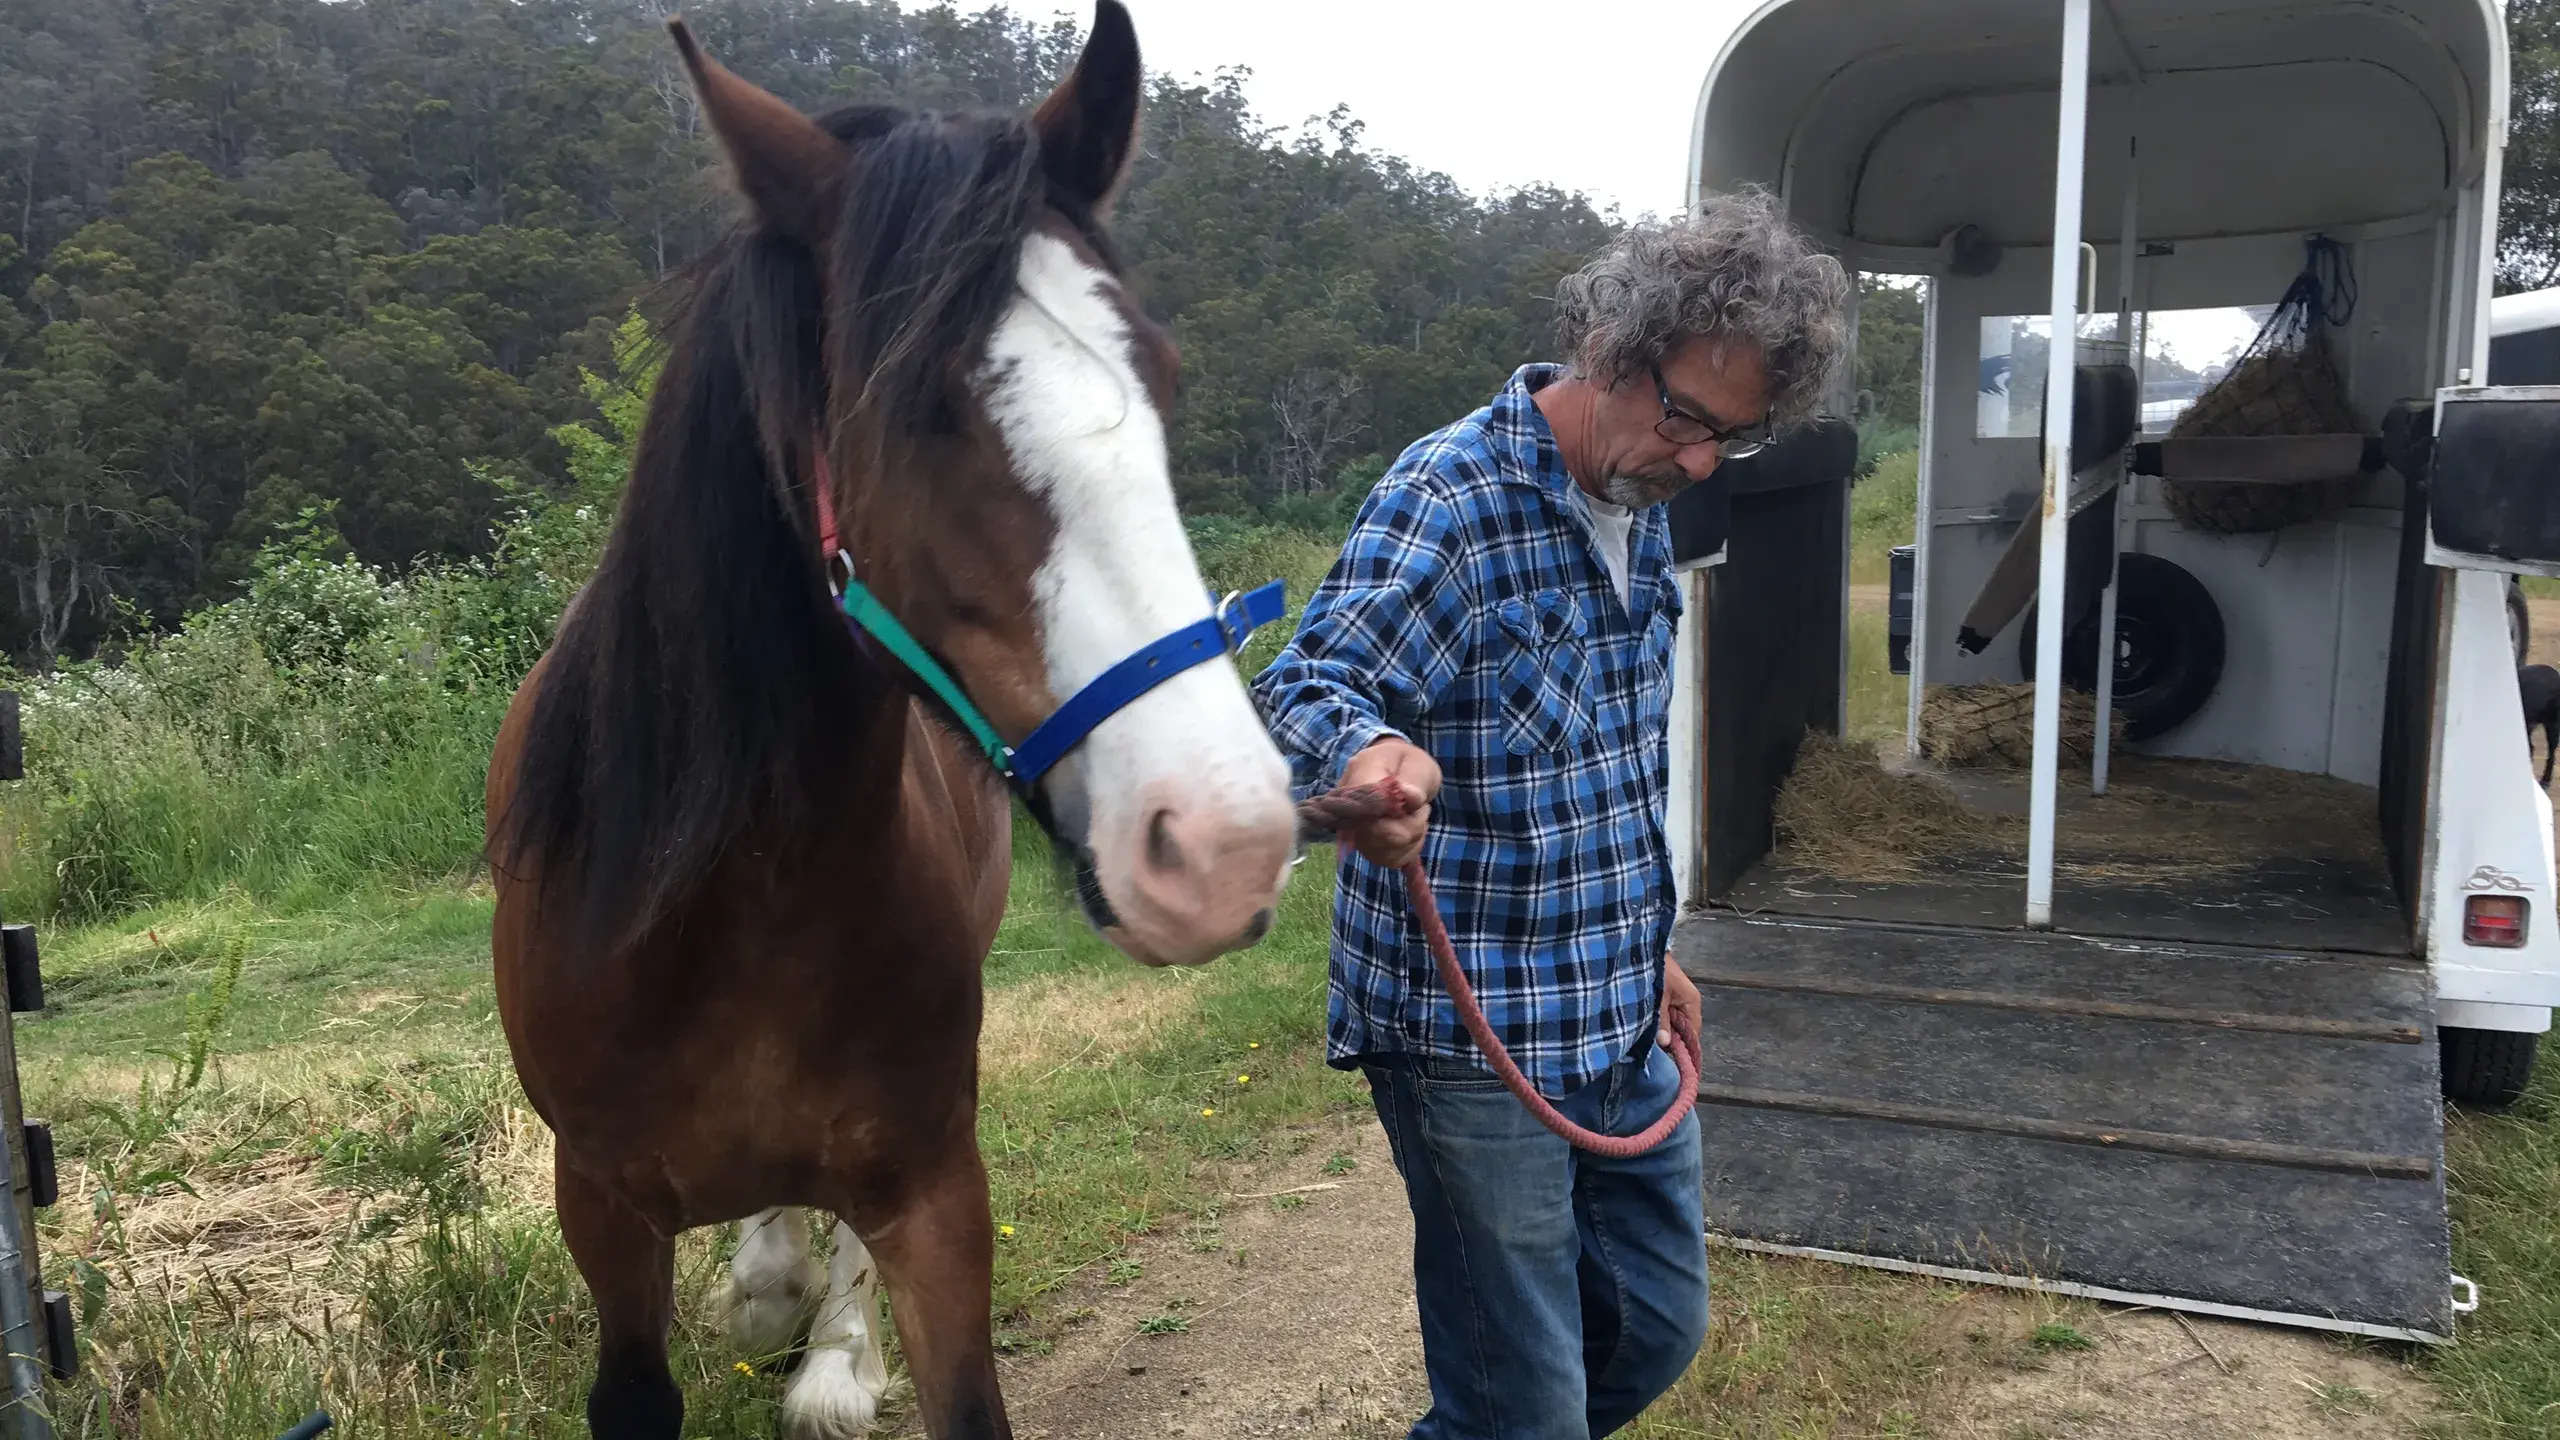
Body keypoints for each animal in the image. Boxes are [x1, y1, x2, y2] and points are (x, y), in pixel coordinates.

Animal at [483, 8, 1300, 1436]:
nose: (1224, 844)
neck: (721, 909)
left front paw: (831, 1342)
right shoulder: (601, 1210)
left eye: (1161, 379)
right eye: (914, 406)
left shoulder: (934, 1191)